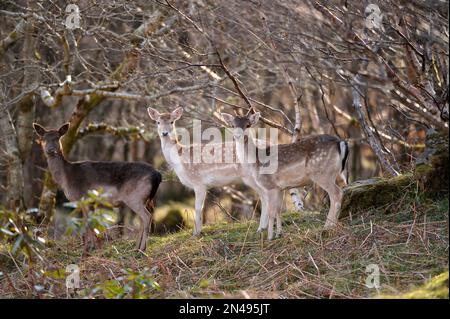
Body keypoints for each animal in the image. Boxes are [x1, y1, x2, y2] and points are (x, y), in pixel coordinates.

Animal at [32, 122, 162, 252]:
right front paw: (92, 246)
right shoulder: (88, 202)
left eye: (57, 138)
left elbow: (88, 223)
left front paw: (90, 248)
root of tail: (157, 174)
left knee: (146, 217)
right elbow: (88, 222)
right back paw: (136, 248)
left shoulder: (83, 197)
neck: (66, 179)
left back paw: (142, 249)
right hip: (144, 199)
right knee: (143, 219)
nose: (50, 150)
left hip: (135, 197)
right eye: (43, 139)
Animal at [146, 107, 280, 235]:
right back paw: (263, 227)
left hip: (253, 177)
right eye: (158, 122)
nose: (164, 133)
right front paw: (199, 231)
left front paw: (196, 233)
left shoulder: (198, 182)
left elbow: (198, 208)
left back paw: (261, 228)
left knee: (265, 197)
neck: (180, 160)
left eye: (172, 121)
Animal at [220, 112, 350, 240]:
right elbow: (278, 210)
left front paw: (270, 237)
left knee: (337, 194)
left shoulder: (269, 185)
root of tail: (341, 142)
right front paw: (279, 233)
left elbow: (271, 211)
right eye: (232, 125)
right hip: (330, 174)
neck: (255, 162)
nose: (237, 136)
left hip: (322, 173)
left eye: (248, 125)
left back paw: (327, 227)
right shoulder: (280, 188)